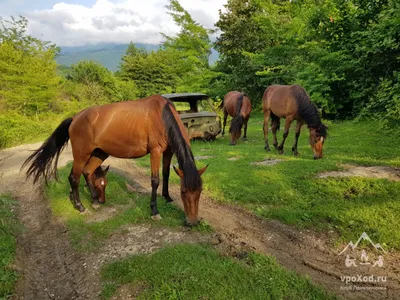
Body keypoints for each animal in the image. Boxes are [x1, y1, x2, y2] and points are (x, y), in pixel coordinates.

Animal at [22, 95, 208, 225]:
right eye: (183, 192)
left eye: (199, 191)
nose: (192, 222)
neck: (162, 116)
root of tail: (75, 118)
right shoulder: (155, 152)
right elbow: (155, 180)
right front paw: (154, 211)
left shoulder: (168, 151)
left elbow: (166, 174)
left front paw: (167, 197)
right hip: (81, 155)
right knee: (74, 178)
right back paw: (81, 207)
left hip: (100, 153)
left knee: (88, 172)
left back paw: (95, 201)